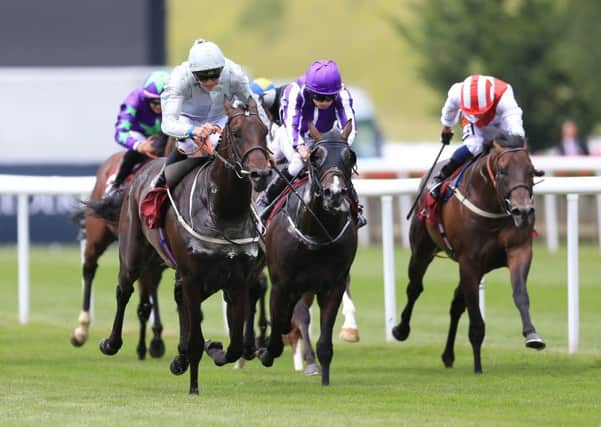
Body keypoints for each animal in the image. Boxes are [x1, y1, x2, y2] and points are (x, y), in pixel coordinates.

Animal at [94, 98, 272, 396]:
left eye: (264, 131)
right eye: (236, 133)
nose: (262, 173)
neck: (223, 212)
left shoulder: (237, 279)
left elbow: (234, 346)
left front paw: (213, 349)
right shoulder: (192, 276)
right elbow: (197, 338)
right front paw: (194, 386)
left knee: (179, 301)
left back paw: (179, 357)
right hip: (133, 253)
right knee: (124, 290)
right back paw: (111, 343)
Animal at [256, 122, 356, 386]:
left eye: (349, 156)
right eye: (315, 156)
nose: (334, 193)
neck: (318, 234)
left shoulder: (332, 285)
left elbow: (325, 342)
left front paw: (325, 379)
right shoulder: (281, 284)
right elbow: (280, 322)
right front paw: (266, 352)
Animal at [392, 135, 548, 372]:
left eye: (531, 171)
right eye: (502, 171)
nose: (523, 211)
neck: (493, 208)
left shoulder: (518, 251)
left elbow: (520, 294)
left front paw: (532, 335)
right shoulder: (469, 262)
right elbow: (475, 317)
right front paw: (478, 367)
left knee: (456, 304)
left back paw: (448, 355)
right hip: (421, 251)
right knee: (415, 288)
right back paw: (401, 330)